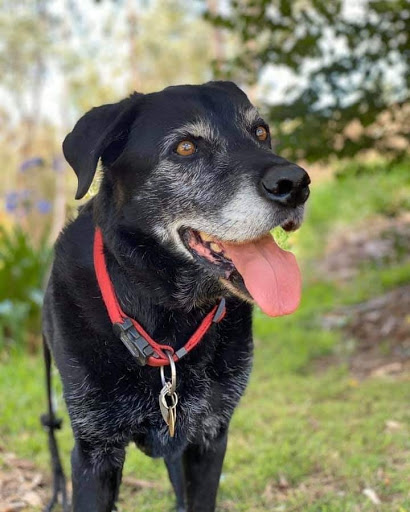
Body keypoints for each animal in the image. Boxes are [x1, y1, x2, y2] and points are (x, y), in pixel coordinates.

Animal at [41, 81, 310, 512]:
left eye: (261, 132)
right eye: (185, 147)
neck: (164, 314)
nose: (296, 184)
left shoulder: (207, 437)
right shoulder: (94, 451)